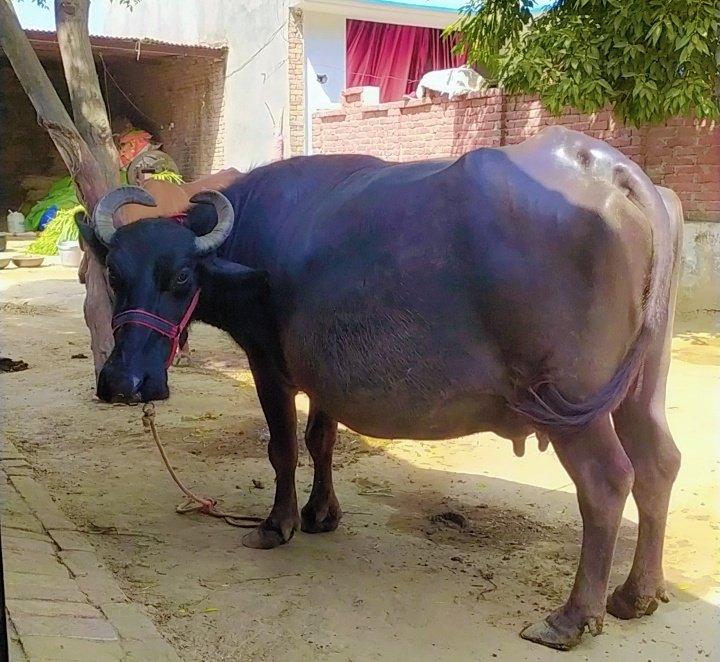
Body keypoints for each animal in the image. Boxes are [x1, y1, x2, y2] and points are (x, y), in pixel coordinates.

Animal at [77, 126, 684, 650]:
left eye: (182, 277)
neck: (248, 237)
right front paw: (322, 515)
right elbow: (321, 440)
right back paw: (636, 594)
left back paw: (571, 619)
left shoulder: (268, 364)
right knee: (659, 463)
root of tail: (616, 173)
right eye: (115, 274)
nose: (125, 381)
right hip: (642, 385)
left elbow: (282, 448)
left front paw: (277, 525)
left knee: (608, 481)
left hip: (572, 405)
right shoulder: (323, 374)